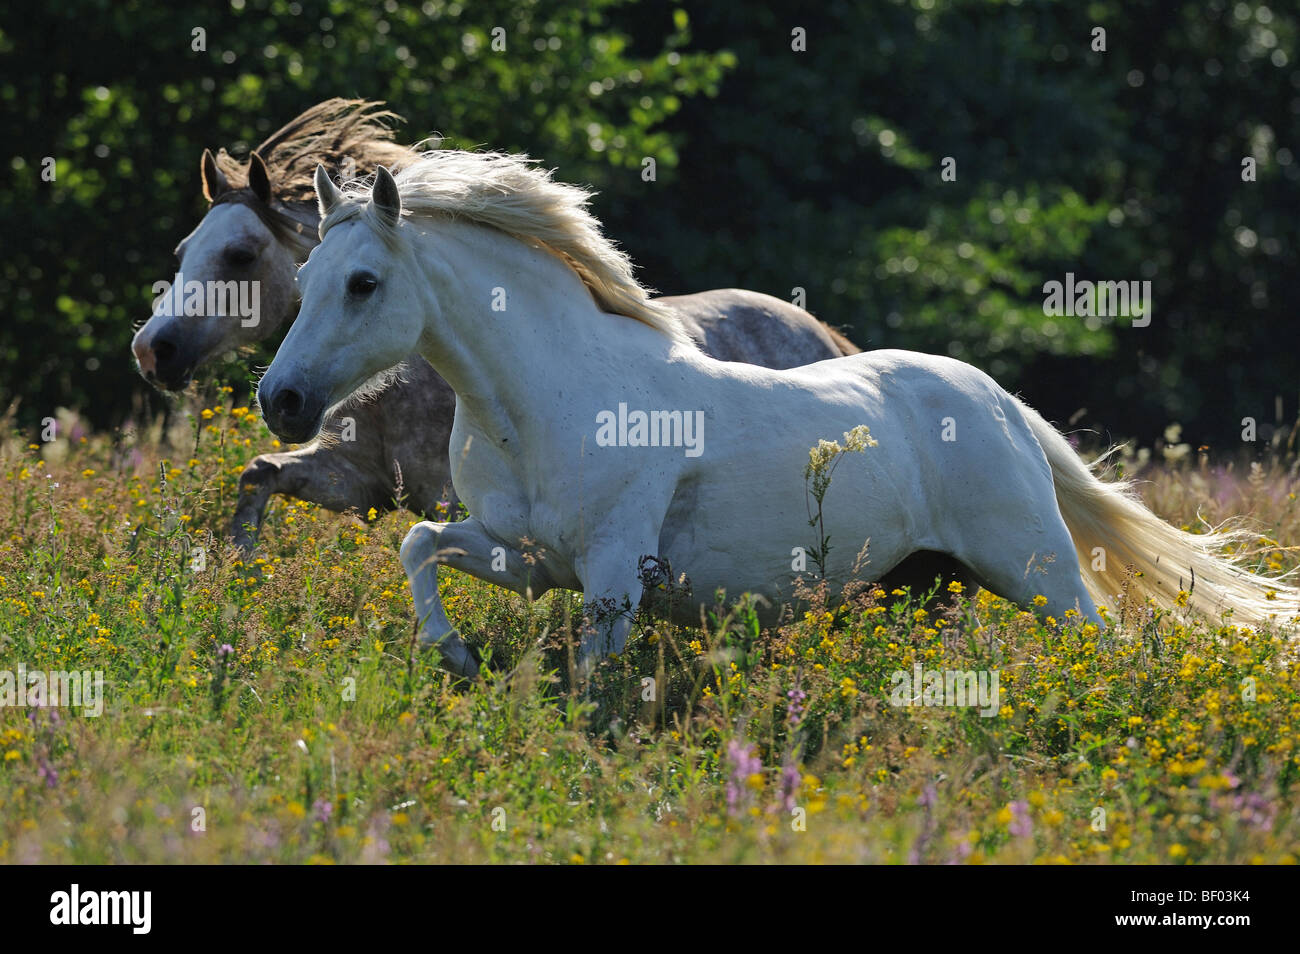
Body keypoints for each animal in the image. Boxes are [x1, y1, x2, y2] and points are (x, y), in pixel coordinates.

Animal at [258, 153, 1294, 675]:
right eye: (305, 277)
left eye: (362, 282)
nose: (281, 401)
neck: (541, 402)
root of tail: (998, 403)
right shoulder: (527, 558)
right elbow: (419, 544)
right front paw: (457, 657)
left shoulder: (610, 576)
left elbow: (595, 684)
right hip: (927, 585)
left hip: (1035, 571)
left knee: (1104, 643)